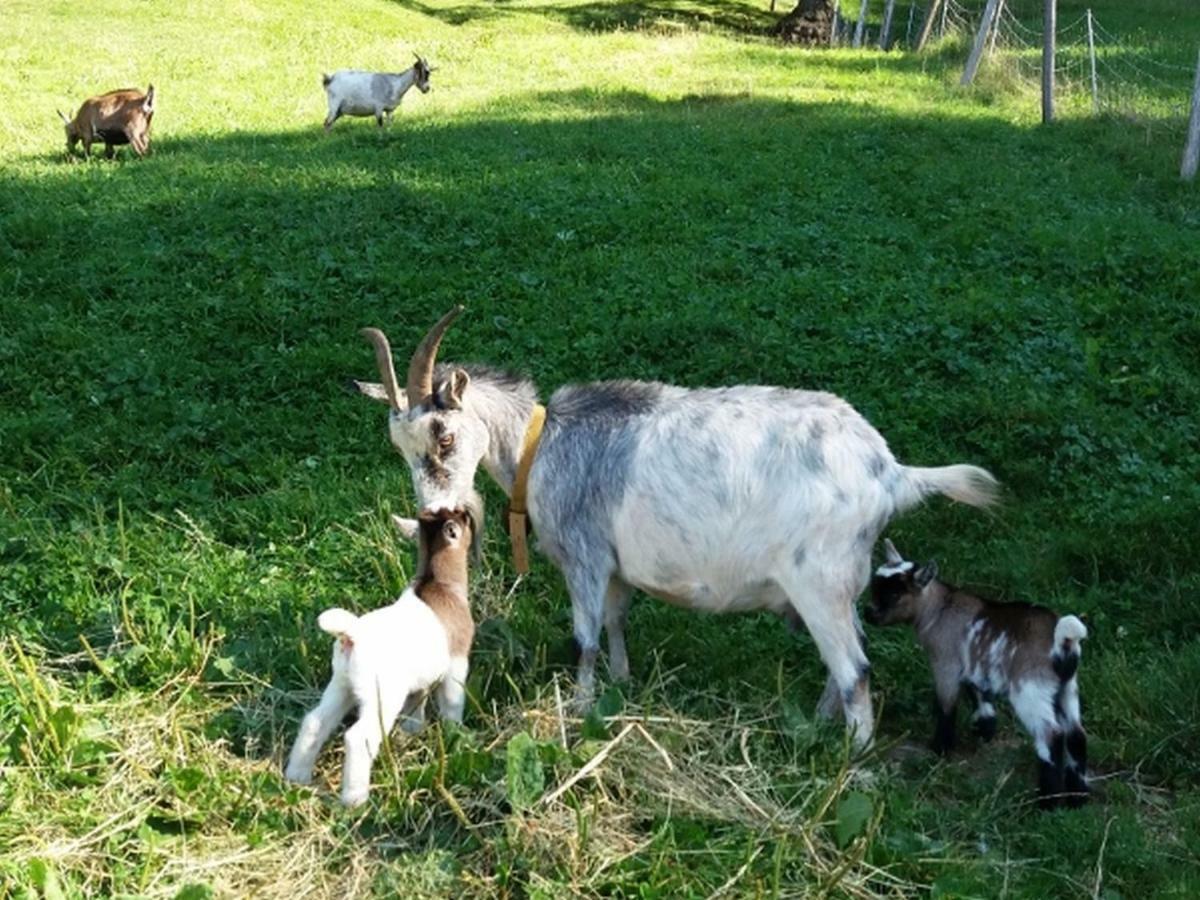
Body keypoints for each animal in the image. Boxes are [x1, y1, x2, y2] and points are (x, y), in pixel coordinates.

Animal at [350, 309, 998, 748]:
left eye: (444, 436)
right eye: (399, 448)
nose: (435, 515)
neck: (541, 447)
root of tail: (888, 472)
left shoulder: (585, 558)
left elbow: (584, 639)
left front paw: (579, 710)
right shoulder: (614, 568)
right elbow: (616, 624)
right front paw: (621, 684)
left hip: (819, 581)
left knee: (856, 670)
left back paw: (850, 762)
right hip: (837, 588)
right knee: (847, 662)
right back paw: (816, 726)